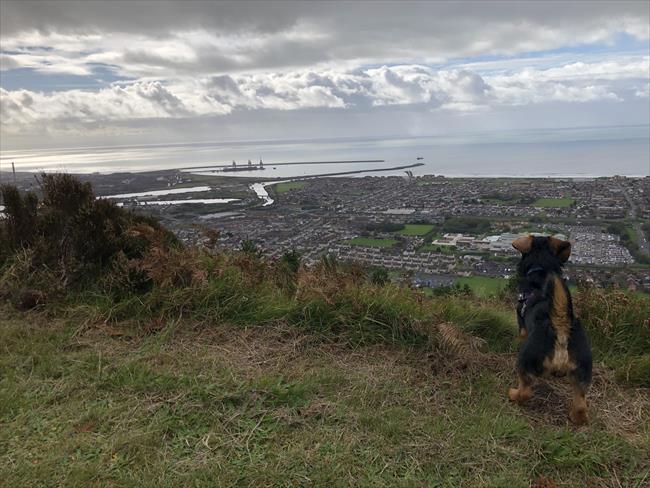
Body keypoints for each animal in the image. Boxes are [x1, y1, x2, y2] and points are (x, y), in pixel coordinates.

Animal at [506, 235, 592, 424]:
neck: (541, 269)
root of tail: (561, 325)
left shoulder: (522, 325)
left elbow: (521, 334)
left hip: (527, 359)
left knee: (526, 390)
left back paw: (514, 395)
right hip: (582, 369)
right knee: (581, 404)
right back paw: (576, 417)